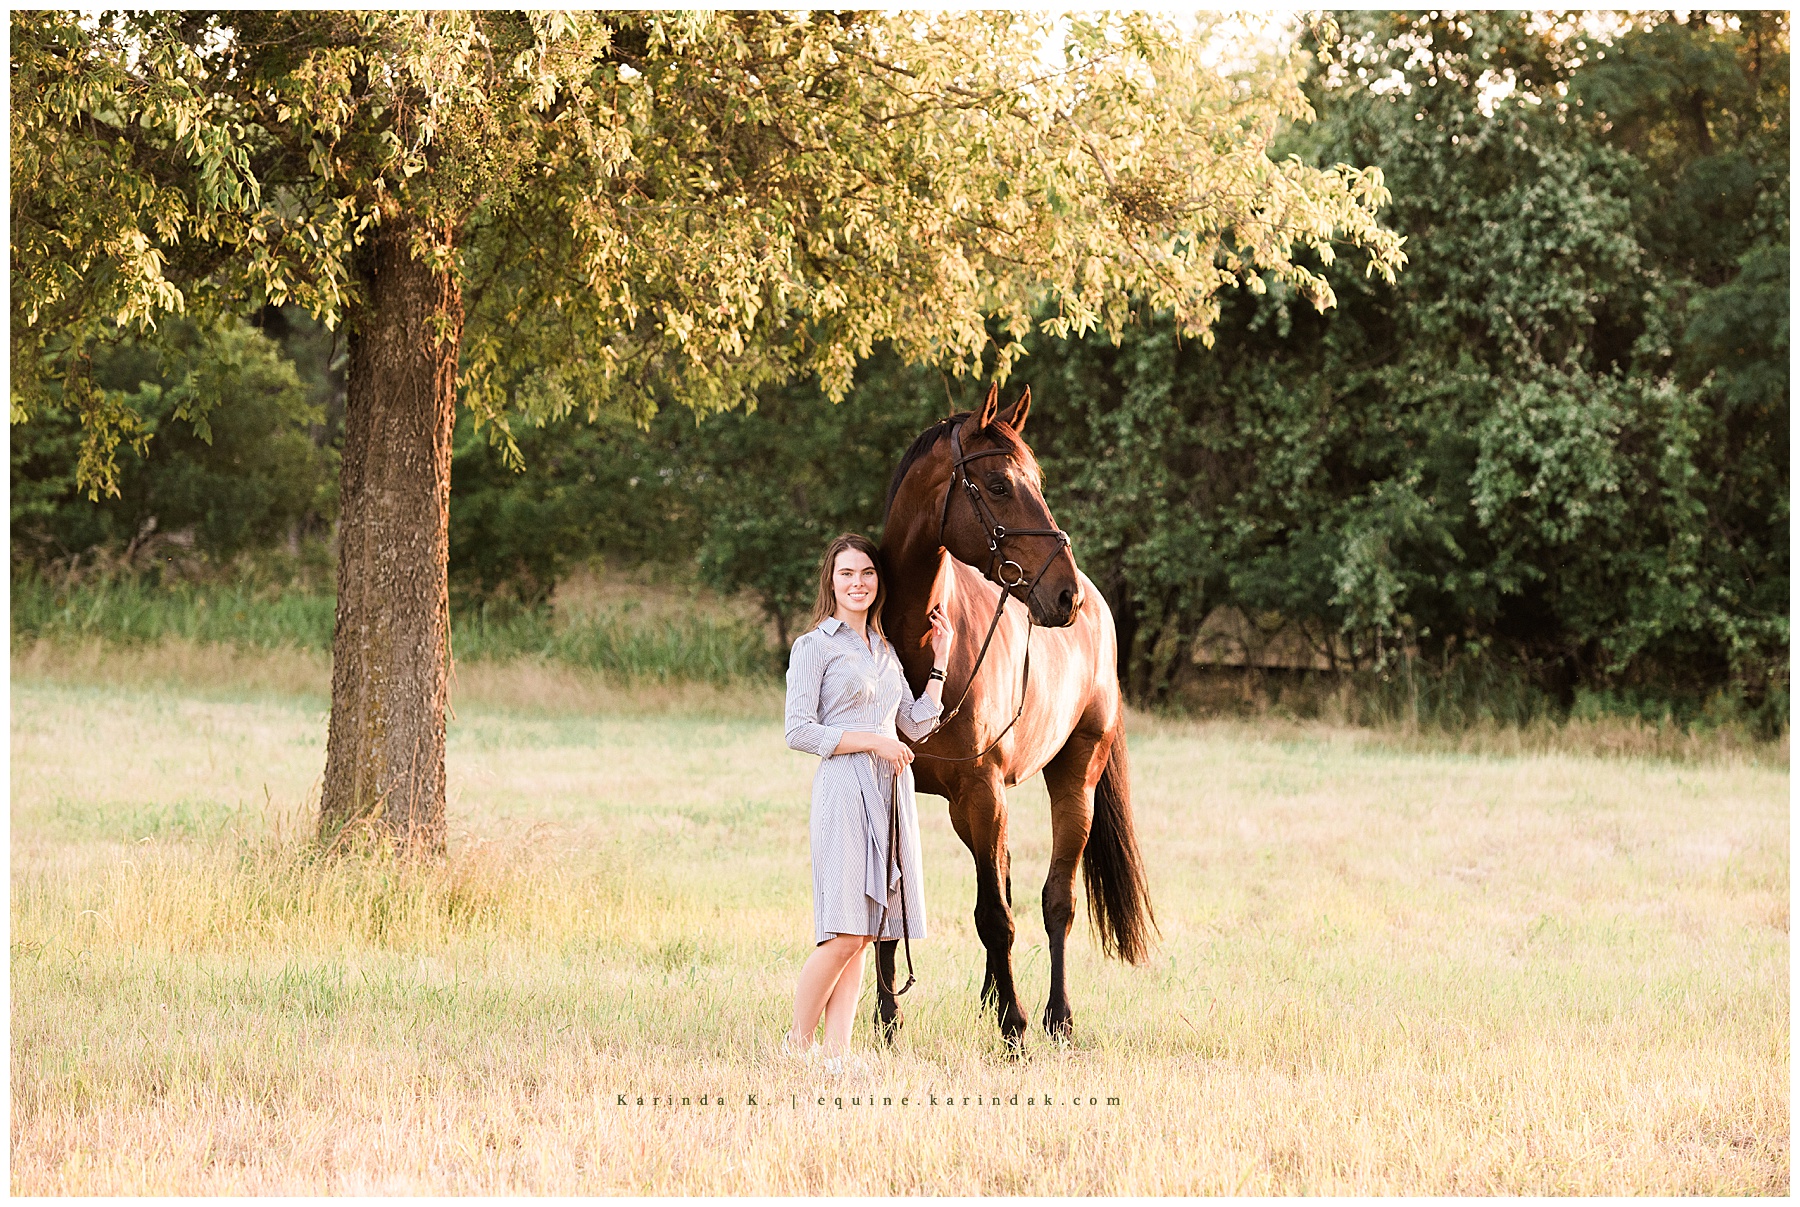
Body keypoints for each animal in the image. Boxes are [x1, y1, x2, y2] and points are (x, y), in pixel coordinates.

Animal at [875, 382, 1156, 1047]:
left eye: (1037, 479)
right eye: (1000, 485)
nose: (1063, 594)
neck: (918, 644)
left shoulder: (983, 790)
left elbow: (998, 917)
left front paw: (1015, 1025)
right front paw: (886, 1022)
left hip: (1071, 783)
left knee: (1055, 902)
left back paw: (1056, 1015)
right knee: (999, 876)